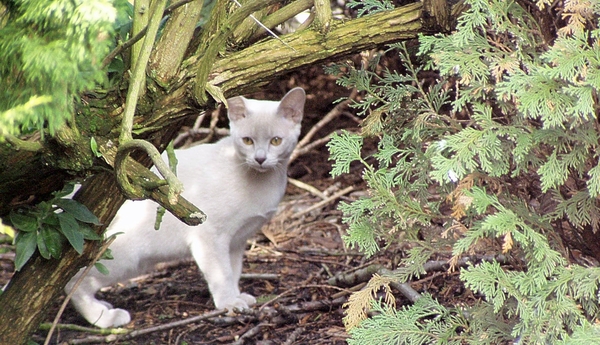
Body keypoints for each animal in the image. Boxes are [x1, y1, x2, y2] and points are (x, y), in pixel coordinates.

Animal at [67, 87, 304, 326]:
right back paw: (107, 318)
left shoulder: (237, 241)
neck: (262, 182)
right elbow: (222, 274)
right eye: (247, 141)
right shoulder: (210, 237)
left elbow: (234, 271)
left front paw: (238, 296)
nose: (260, 159)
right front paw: (230, 304)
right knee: (74, 285)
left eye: (276, 141)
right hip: (125, 257)